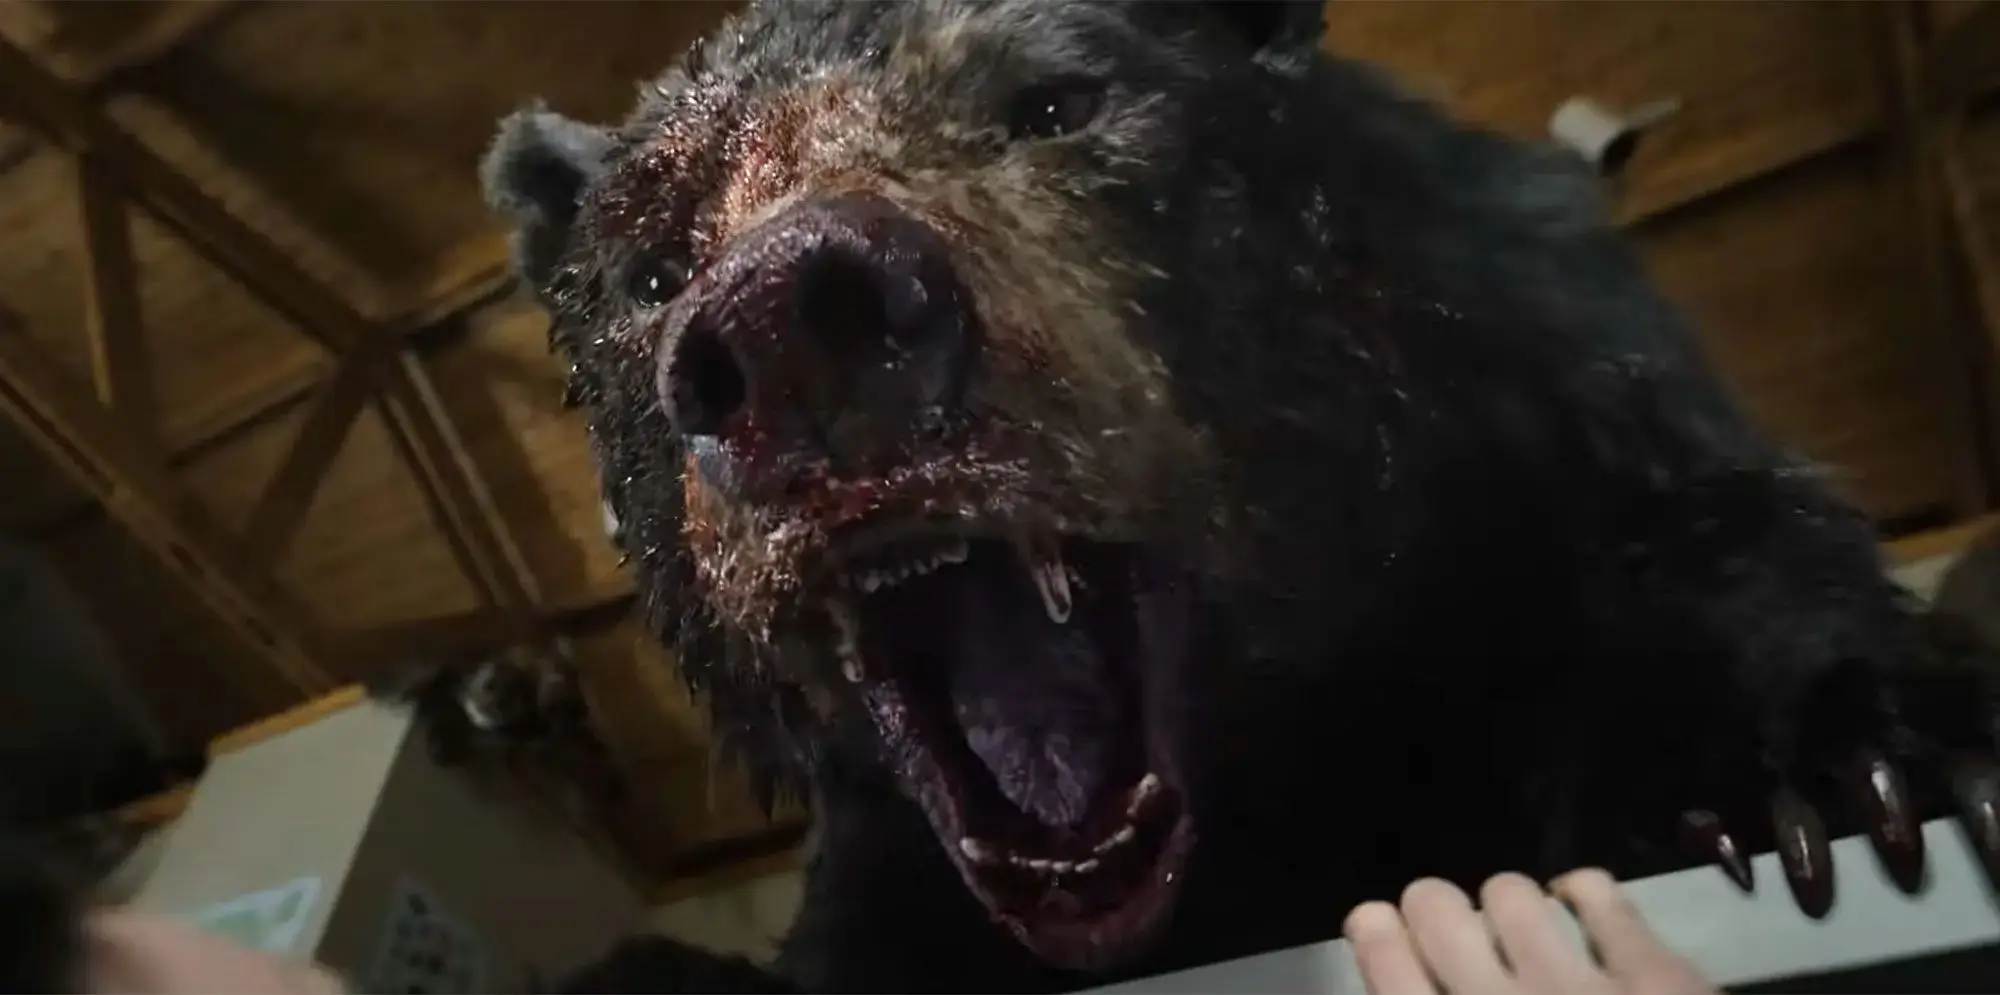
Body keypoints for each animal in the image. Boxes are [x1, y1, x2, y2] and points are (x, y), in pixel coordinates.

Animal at [466, 0, 2000, 992]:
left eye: (1054, 102)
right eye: (653, 264)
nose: (791, 318)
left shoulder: (1535, 377)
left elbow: (1703, 544)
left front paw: (1826, 771)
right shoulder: (895, 869)